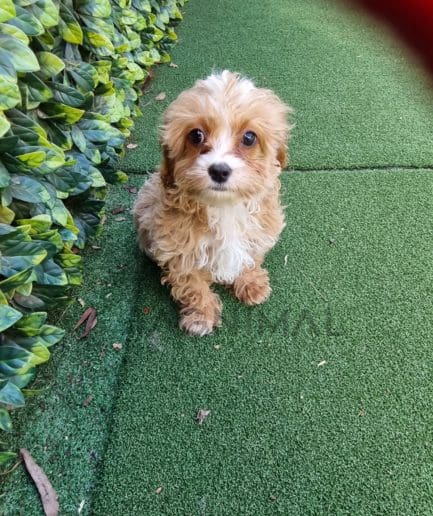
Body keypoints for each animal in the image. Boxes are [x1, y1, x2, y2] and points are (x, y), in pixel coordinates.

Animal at [133, 71, 292, 336]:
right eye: (196, 135)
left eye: (249, 137)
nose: (219, 170)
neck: (224, 206)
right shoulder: (179, 250)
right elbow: (192, 285)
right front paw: (201, 316)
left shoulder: (259, 230)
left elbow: (251, 256)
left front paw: (251, 283)